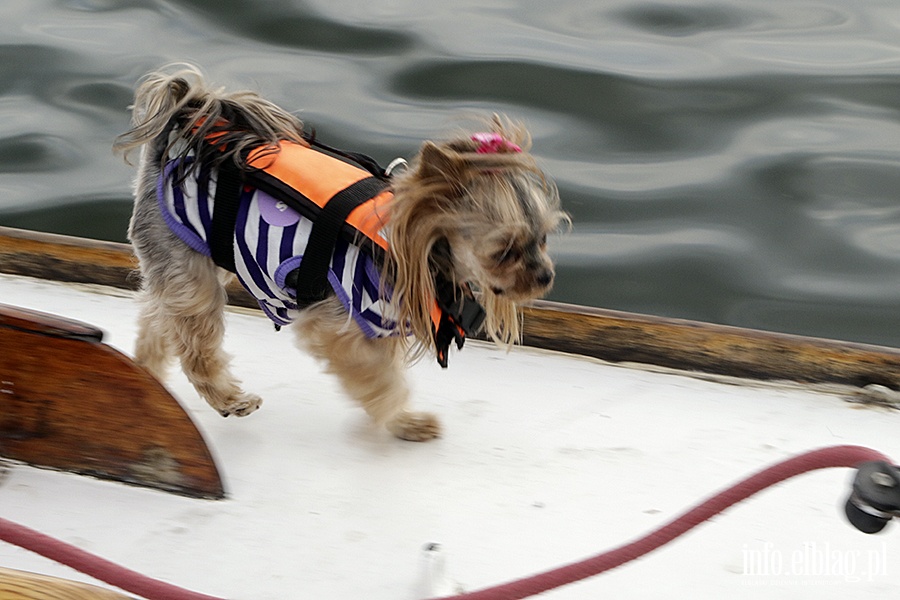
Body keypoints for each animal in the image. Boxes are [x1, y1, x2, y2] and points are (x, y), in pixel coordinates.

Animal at [112, 65, 564, 440]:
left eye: (543, 238)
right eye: (504, 251)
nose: (545, 276)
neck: (416, 249)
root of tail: (170, 148)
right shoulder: (343, 327)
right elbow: (381, 381)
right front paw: (407, 423)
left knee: (159, 320)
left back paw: (145, 377)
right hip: (188, 266)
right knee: (196, 342)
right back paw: (229, 400)